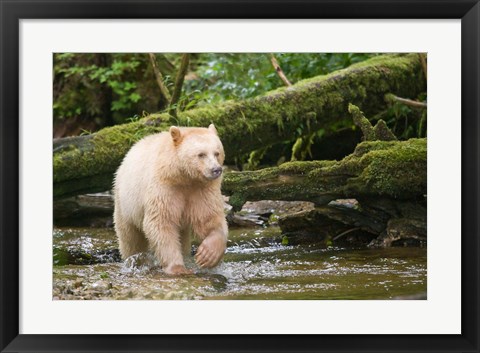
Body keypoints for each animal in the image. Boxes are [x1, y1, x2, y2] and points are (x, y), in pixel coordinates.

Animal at [115, 124, 230, 276]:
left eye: (217, 153)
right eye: (201, 154)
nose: (216, 170)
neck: (183, 177)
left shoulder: (202, 189)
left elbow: (208, 218)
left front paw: (207, 255)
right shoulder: (164, 186)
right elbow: (161, 222)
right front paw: (178, 268)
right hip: (126, 202)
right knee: (130, 238)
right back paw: (135, 260)